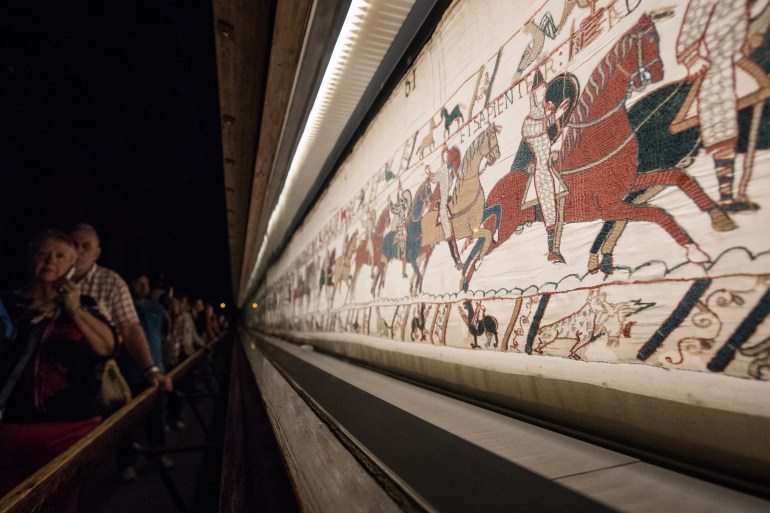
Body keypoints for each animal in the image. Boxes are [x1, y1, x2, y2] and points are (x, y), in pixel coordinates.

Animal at [468, 14, 732, 288]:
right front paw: (694, 250)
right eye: (649, 39)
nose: (658, 73)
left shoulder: (631, 184)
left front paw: (718, 216)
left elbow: (677, 177)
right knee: (483, 249)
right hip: (506, 228)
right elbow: (658, 213)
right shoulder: (611, 206)